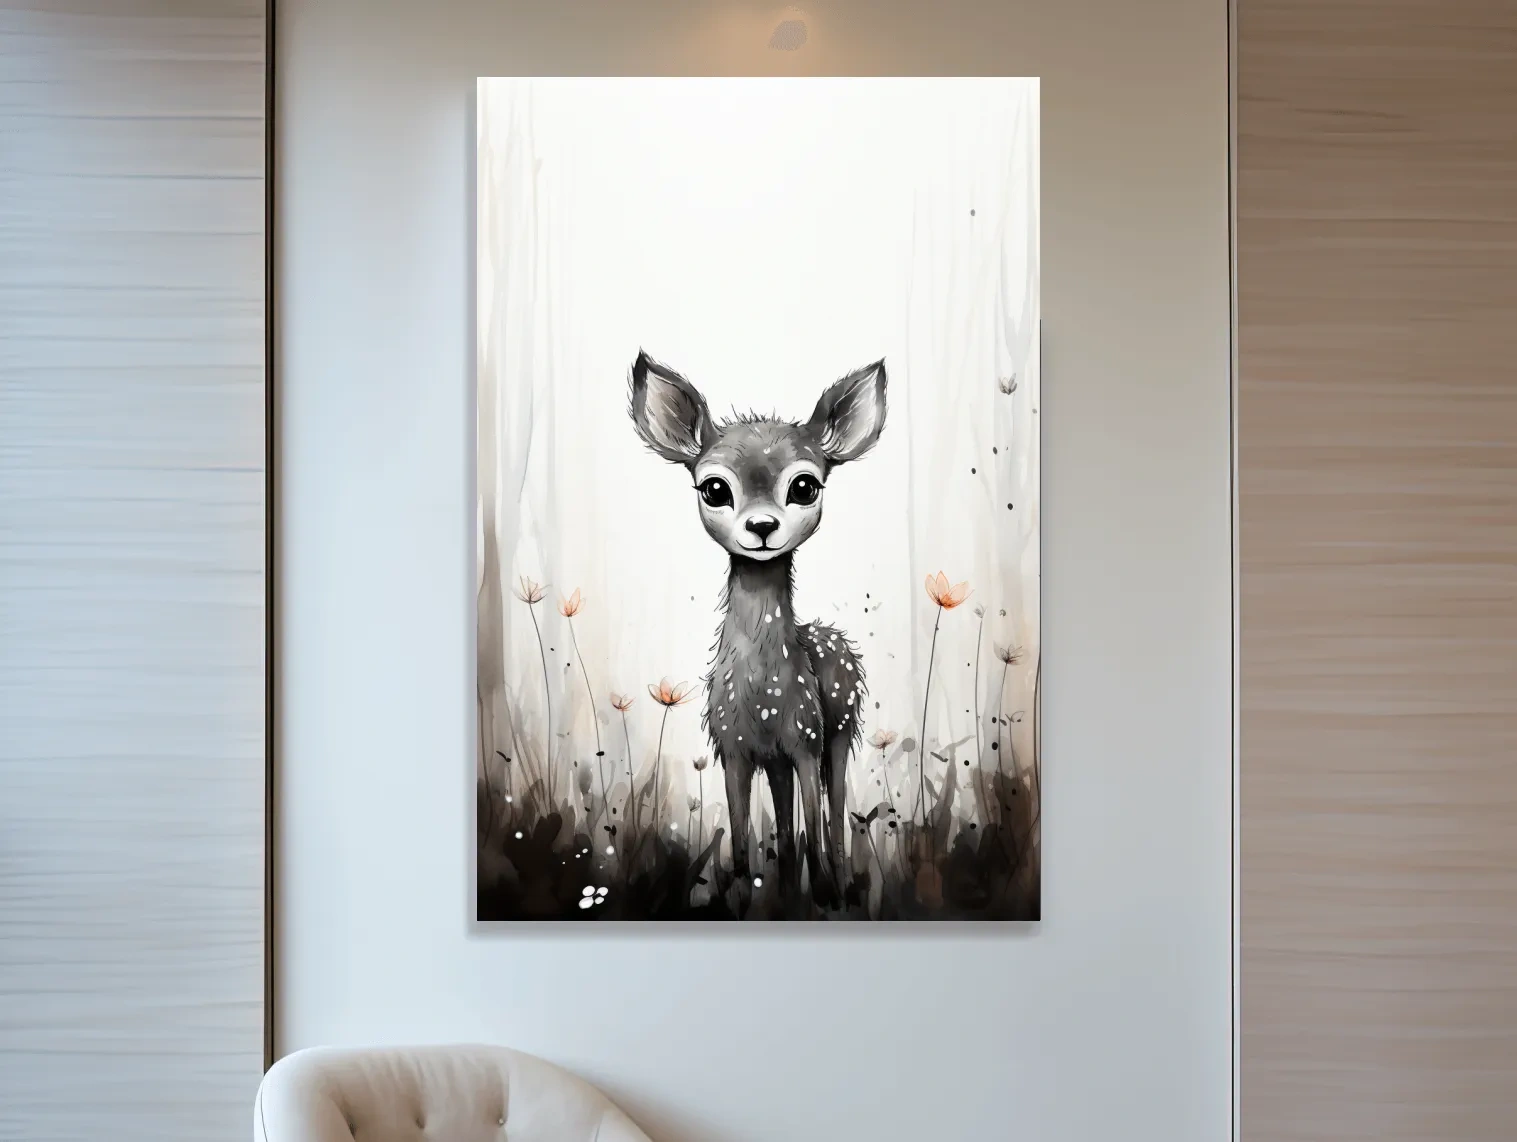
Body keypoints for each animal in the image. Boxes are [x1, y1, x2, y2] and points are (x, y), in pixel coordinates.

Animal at [628, 350, 888, 907]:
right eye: (714, 487)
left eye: (805, 485)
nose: (763, 527)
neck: (764, 694)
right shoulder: (734, 749)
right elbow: (744, 842)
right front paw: (744, 898)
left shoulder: (806, 739)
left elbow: (816, 822)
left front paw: (825, 895)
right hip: (778, 759)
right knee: (786, 829)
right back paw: (787, 891)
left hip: (839, 730)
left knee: (833, 816)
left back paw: (834, 887)